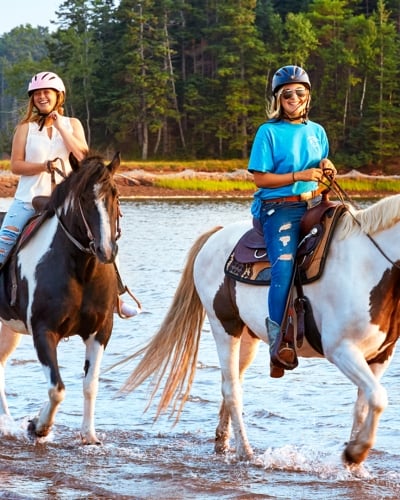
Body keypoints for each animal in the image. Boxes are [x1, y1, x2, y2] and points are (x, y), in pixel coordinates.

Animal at [0, 153, 120, 446]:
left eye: (115, 194)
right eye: (84, 198)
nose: (106, 250)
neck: (80, 269)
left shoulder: (100, 332)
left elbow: (90, 385)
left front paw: (89, 436)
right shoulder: (44, 331)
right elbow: (57, 388)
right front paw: (39, 426)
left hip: (8, 328)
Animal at [120, 193, 400, 466]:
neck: (367, 266)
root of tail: (214, 236)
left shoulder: (379, 356)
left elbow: (364, 405)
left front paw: (355, 461)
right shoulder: (341, 350)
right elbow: (378, 397)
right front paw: (355, 452)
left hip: (247, 338)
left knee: (232, 382)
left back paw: (222, 444)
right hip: (225, 327)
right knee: (231, 389)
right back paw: (245, 453)